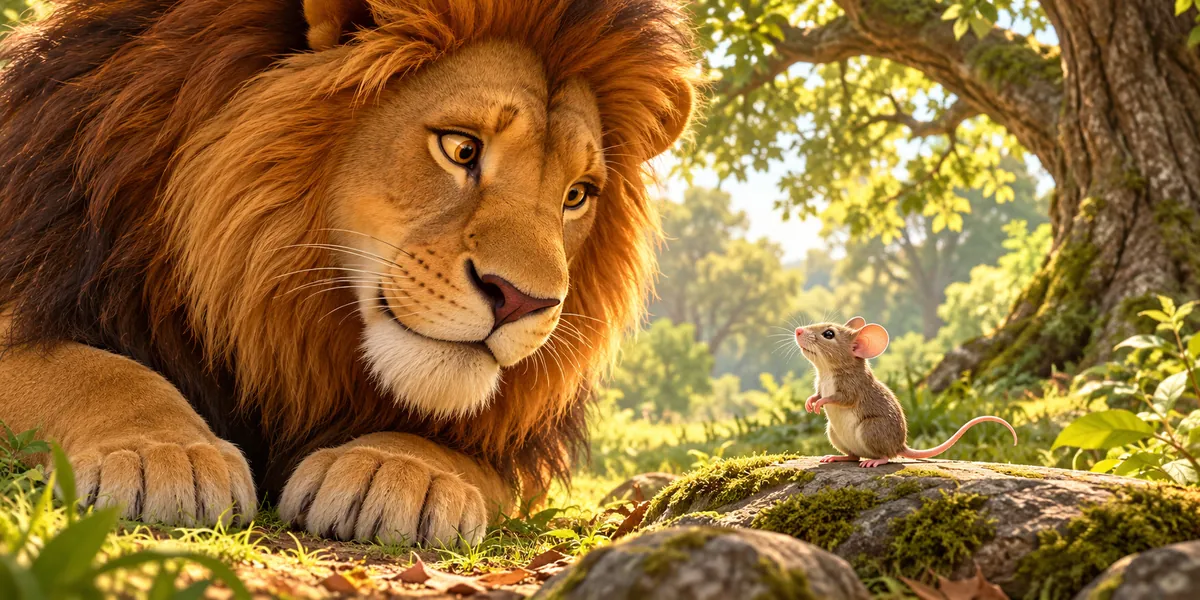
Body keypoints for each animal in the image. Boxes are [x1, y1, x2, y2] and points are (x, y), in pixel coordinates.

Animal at [0, 0, 694, 545]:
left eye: (576, 195)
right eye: (461, 148)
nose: (523, 302)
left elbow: (458, 443)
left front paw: (402, 474)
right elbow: (93, 371)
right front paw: (165, 453)